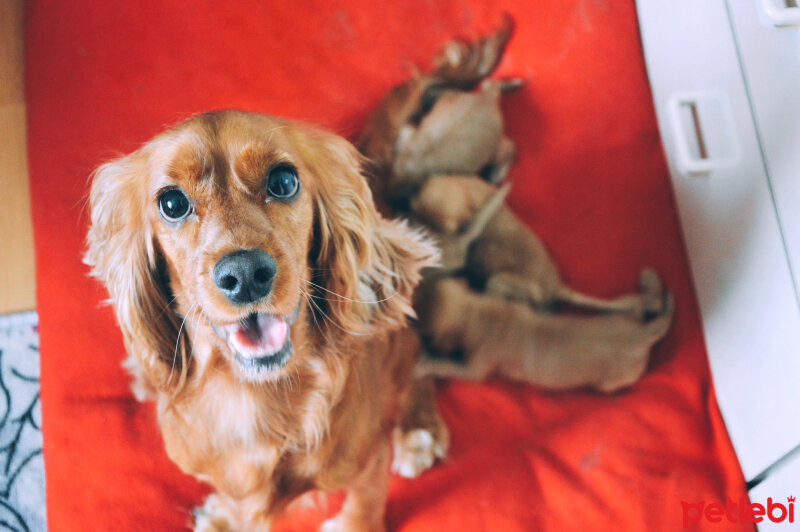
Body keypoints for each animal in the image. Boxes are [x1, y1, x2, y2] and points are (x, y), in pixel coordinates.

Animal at [86, 110, 444, 528]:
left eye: (283, 181)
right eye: (172, 203)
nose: (245, 275)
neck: (254, 397)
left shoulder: (368, 458)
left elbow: (364, 504)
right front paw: (223, 518)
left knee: (420, 362)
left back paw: (420, 429)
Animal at [416, 276, 672, 392]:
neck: (479, 314)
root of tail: (643, 333)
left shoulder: (477, 367)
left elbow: (448, 366)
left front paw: (425, 364)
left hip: (612, 380)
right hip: (621, 317)